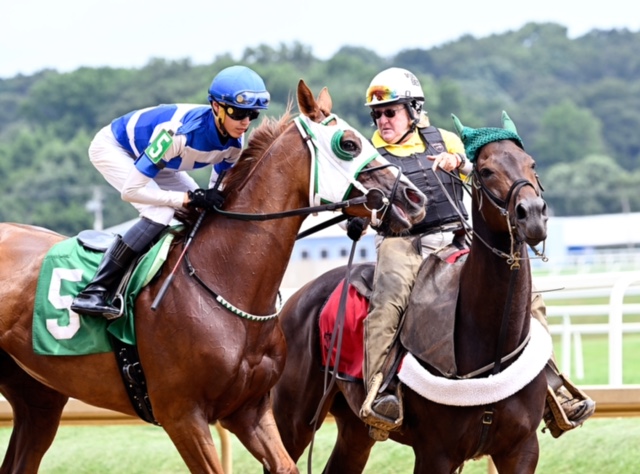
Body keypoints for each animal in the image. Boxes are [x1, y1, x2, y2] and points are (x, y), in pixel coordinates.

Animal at [0, 79, 428, 472]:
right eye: (349, 144)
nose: (415, 198)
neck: (225, 279)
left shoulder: (249, 410)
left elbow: (284, 464)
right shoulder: (182, 416)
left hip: (38, 398)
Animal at [270, 113, 552, 472]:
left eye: (531, 165)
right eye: (487, 170)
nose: (533, 214)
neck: (492, 349)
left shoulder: (522, 450)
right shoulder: (436, 453)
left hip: (355, 430)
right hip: (292, 420)